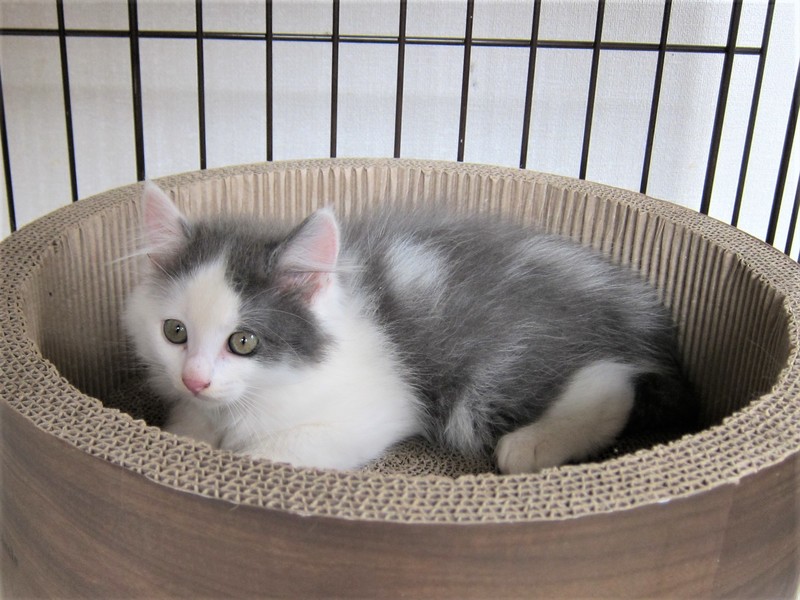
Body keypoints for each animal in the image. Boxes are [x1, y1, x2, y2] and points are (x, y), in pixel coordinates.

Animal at [123, 182, 695, 473]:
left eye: (243, 341)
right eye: (175, 332)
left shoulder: (374, 409)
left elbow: (274, 455)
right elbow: (187, 428)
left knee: (610, 382)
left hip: (494, 364)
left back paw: (532, 446)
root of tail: (624, 301)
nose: (194, 379)